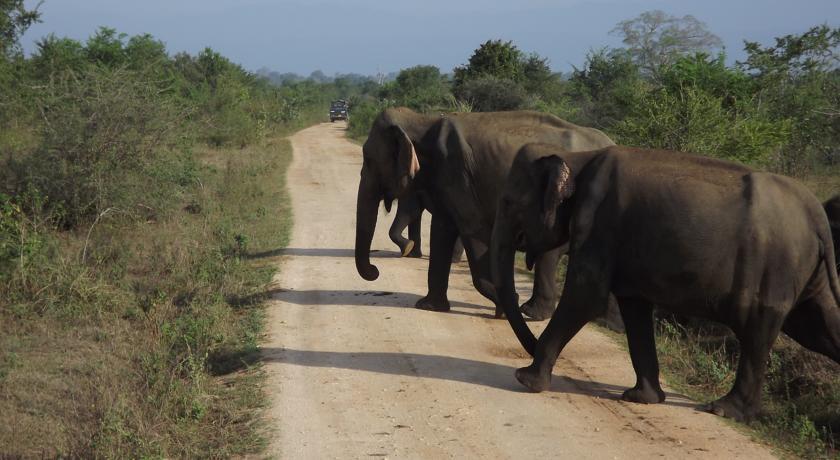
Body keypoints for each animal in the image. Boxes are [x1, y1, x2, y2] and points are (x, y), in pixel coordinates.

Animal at [352, 107, 612, 320]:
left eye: (369, 160)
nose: (375, 271)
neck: (422, 120)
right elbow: (442, 230)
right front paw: (428, 307)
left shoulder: (459, 176)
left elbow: (472, 230)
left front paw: (506, 307)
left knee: (548, 255)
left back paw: (531, 313)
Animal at [488, 146, 840, 422]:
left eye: (508, 202)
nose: (529, 346)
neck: (578, 158)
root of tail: (818, 215)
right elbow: (634, 308)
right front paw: (641, 398)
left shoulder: (598, 222)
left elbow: (586, 296)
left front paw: (525, 379)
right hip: (806, 273)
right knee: (817, 326)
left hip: (775, 271)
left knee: (758, 331)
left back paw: (724, 410)